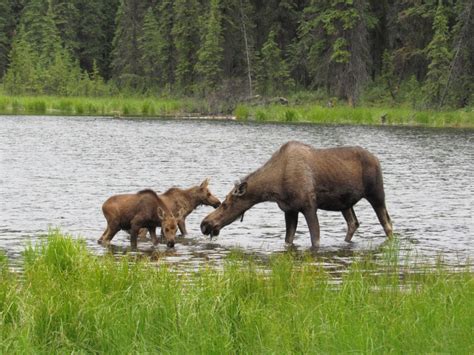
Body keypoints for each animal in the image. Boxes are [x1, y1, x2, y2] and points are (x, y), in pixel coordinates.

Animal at [200, 141, 392, 248]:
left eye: (225, 204)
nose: (204, 224)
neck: (274, 187)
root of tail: (377, 159)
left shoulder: (309, 206)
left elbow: (315, 239)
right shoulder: (290, 210)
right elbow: (288, 240)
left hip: (376, 194)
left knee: (387, 224)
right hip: (345, 203)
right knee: (353, 223)